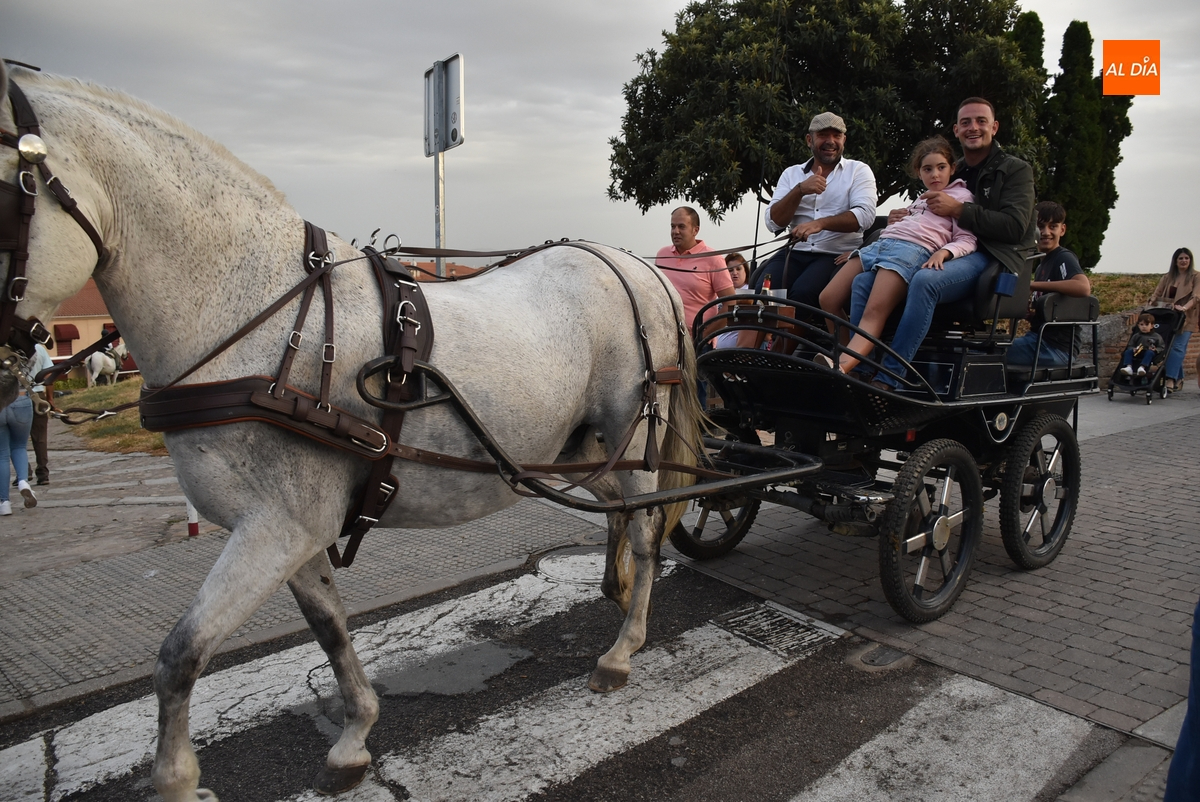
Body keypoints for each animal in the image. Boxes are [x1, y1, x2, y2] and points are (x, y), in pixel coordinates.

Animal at [0, 63, 703, 802]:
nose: (8, 374)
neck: (262, 319)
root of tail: (638, 267)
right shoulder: (295, 530)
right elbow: (330, 628)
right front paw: (354, 734)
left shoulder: (274, 528)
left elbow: (179, 655)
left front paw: (177, 781)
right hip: (580, 448)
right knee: (621, 512)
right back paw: (615, 594)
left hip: (632, 437)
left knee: (647, 528)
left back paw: (624, 647)